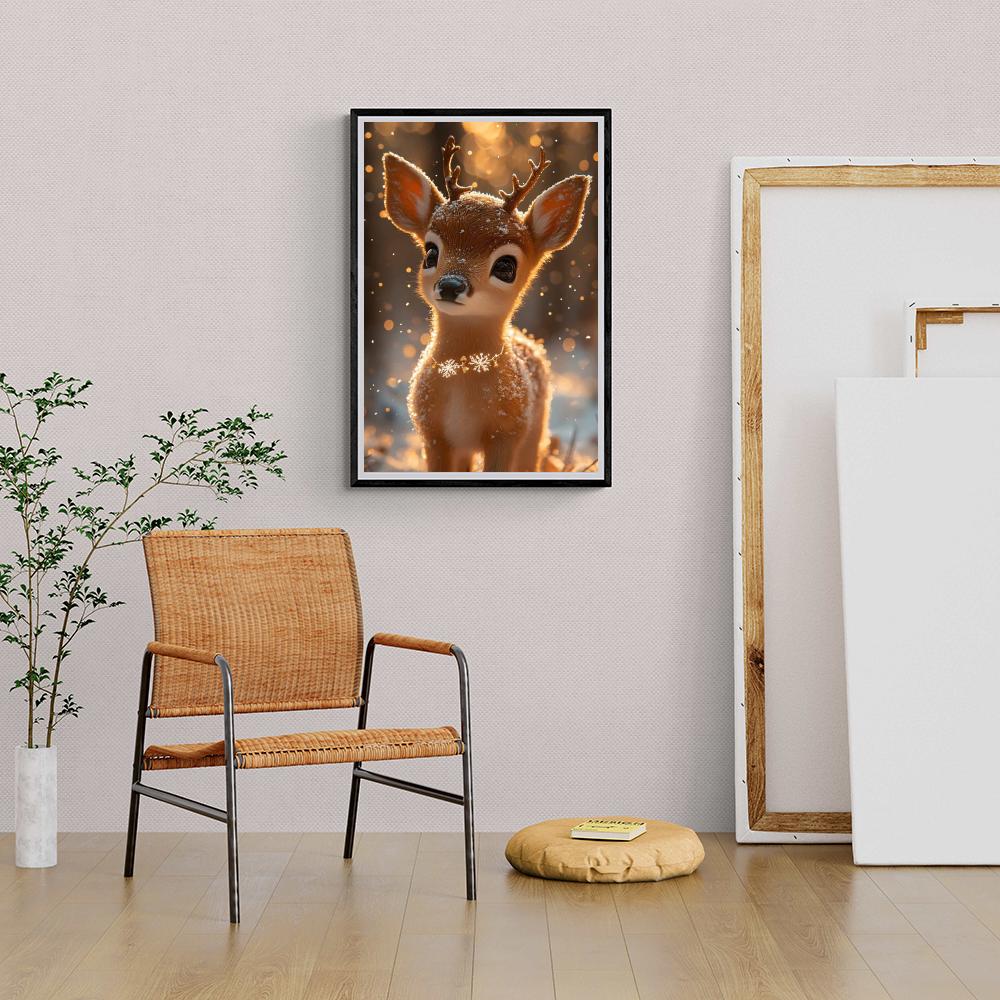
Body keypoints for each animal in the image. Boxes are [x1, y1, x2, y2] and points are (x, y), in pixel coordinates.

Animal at [382, 135, 591, 473]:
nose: (451, 285)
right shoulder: (432, 431)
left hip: (535, 428)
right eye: (430, 252)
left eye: (506, 266)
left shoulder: (507, 430)